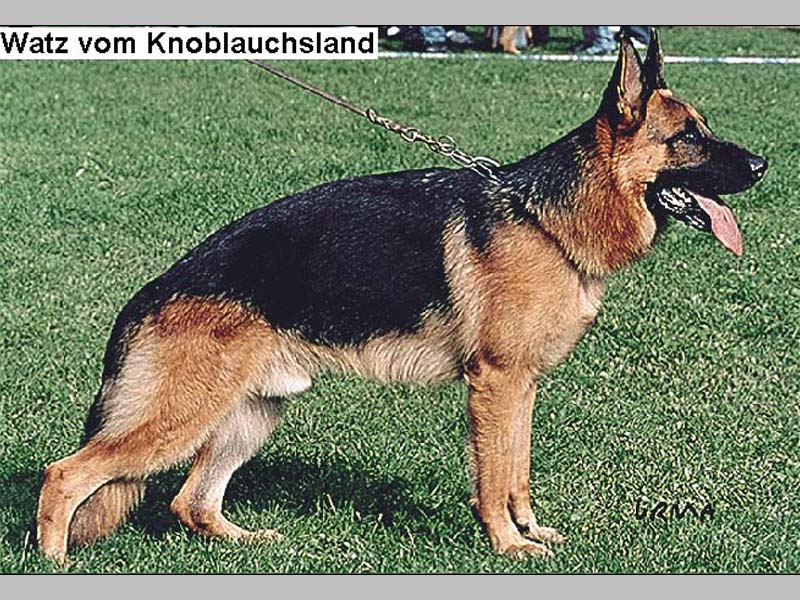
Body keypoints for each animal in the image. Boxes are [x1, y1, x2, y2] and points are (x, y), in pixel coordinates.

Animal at [37, 31, 767, 562]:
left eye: (706, 128)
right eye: (688, 137)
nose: (763, 165)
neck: (545, 218)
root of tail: (150, 292)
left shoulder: (522, 386)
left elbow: (518, 469)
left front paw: (530, 531)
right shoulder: (494, 383)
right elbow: (493, 478)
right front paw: (507, 546)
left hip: (250, 414)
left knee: (190, 502)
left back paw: (248, 542)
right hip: (179, 417)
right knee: (65, 475)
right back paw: (55, 562)